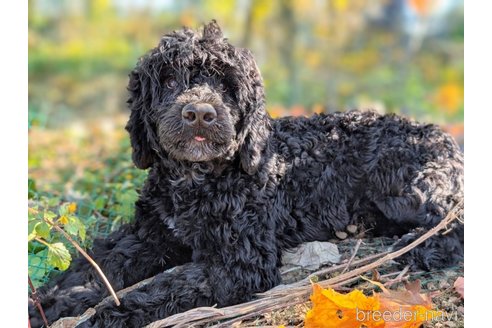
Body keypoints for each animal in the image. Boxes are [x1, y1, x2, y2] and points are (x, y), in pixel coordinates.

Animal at [27, 21, 466, 326]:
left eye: (227, 86)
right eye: (167, 80)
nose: (199, 113)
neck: (197, 180)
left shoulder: (238, 264)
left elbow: (165, 286)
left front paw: (108, 315)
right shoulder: (149, 233)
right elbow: (96, 265)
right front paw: (48, 300)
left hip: (405, 185)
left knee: (452, 221)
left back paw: (418, 247)